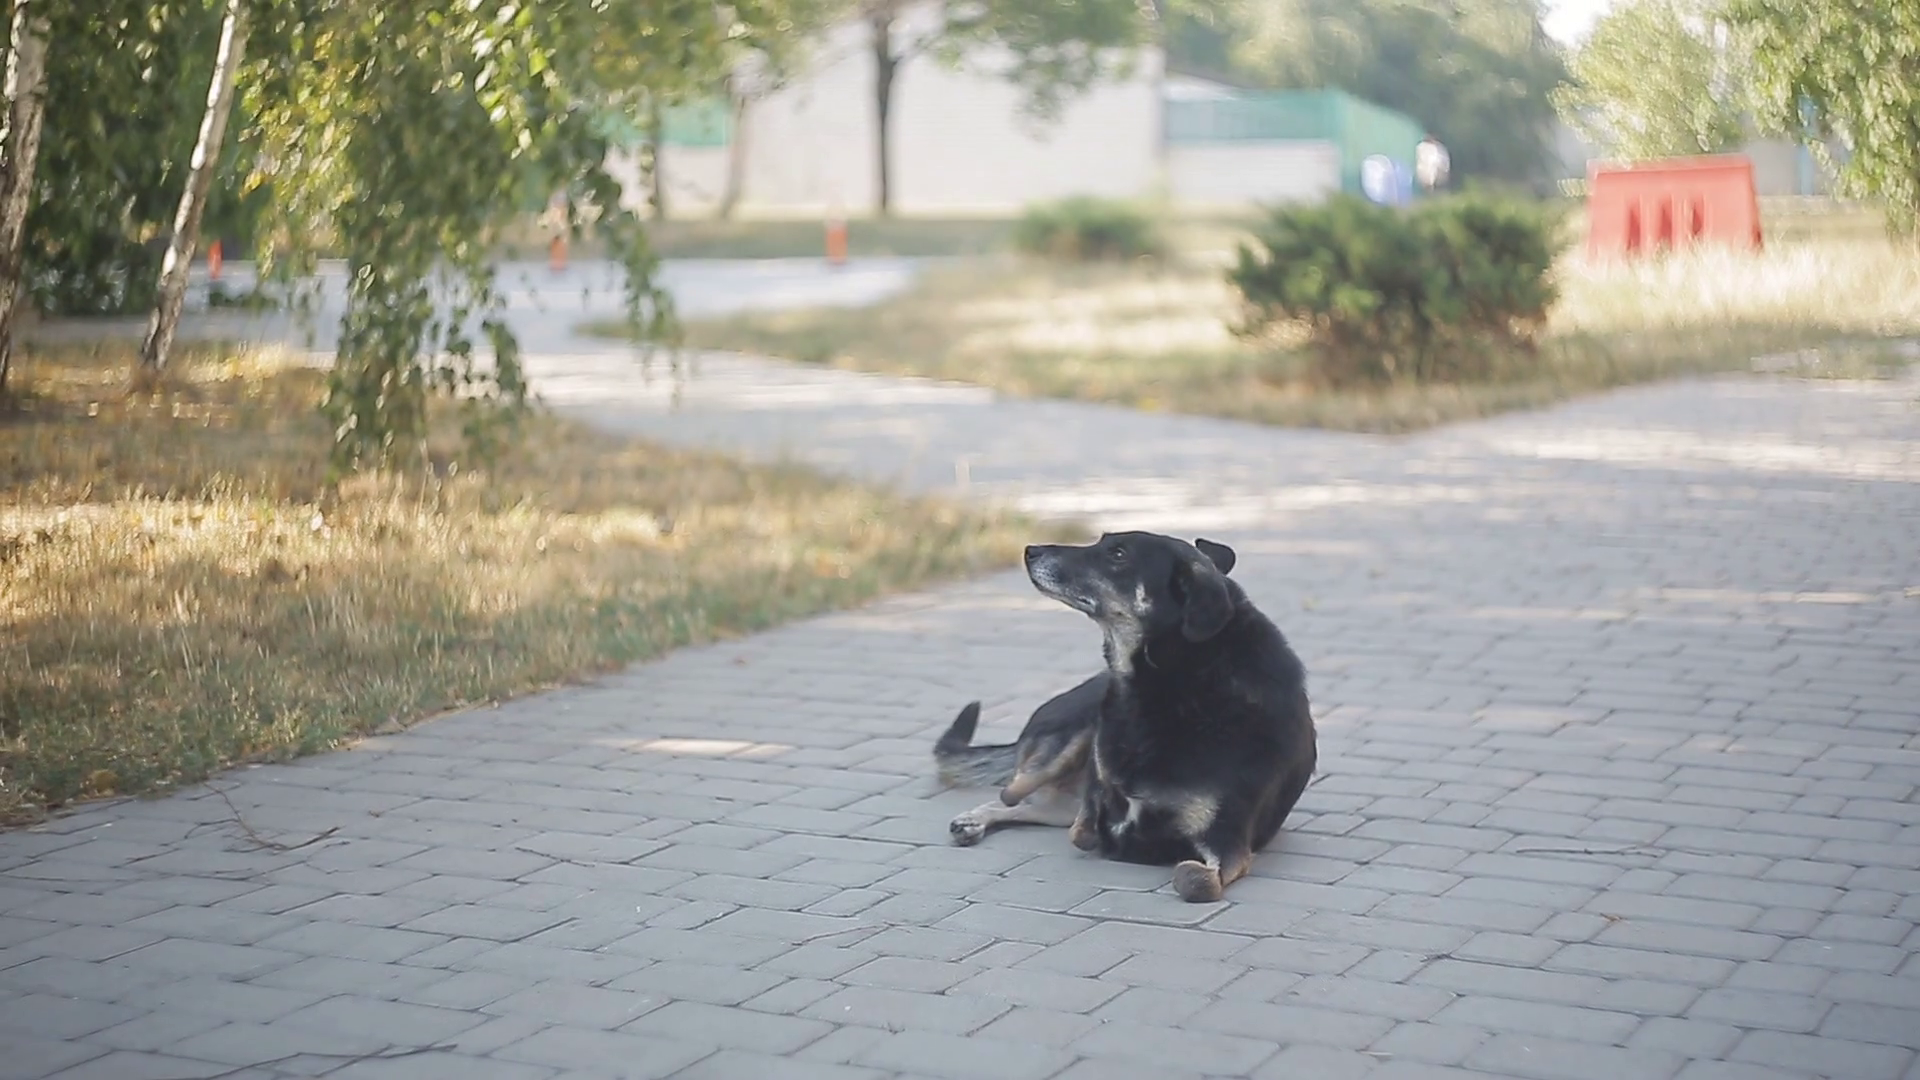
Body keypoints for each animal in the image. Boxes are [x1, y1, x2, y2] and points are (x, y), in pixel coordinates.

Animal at [935, 531, 1317, 902]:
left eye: (1118, 554)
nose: (1030, 550)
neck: (1174, 683)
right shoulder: (1098, 785)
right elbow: (1087, 822)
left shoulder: (1228, 842)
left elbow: (1194, 880)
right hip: (1071, 734)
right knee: (1013, 791)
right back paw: (974, 818)